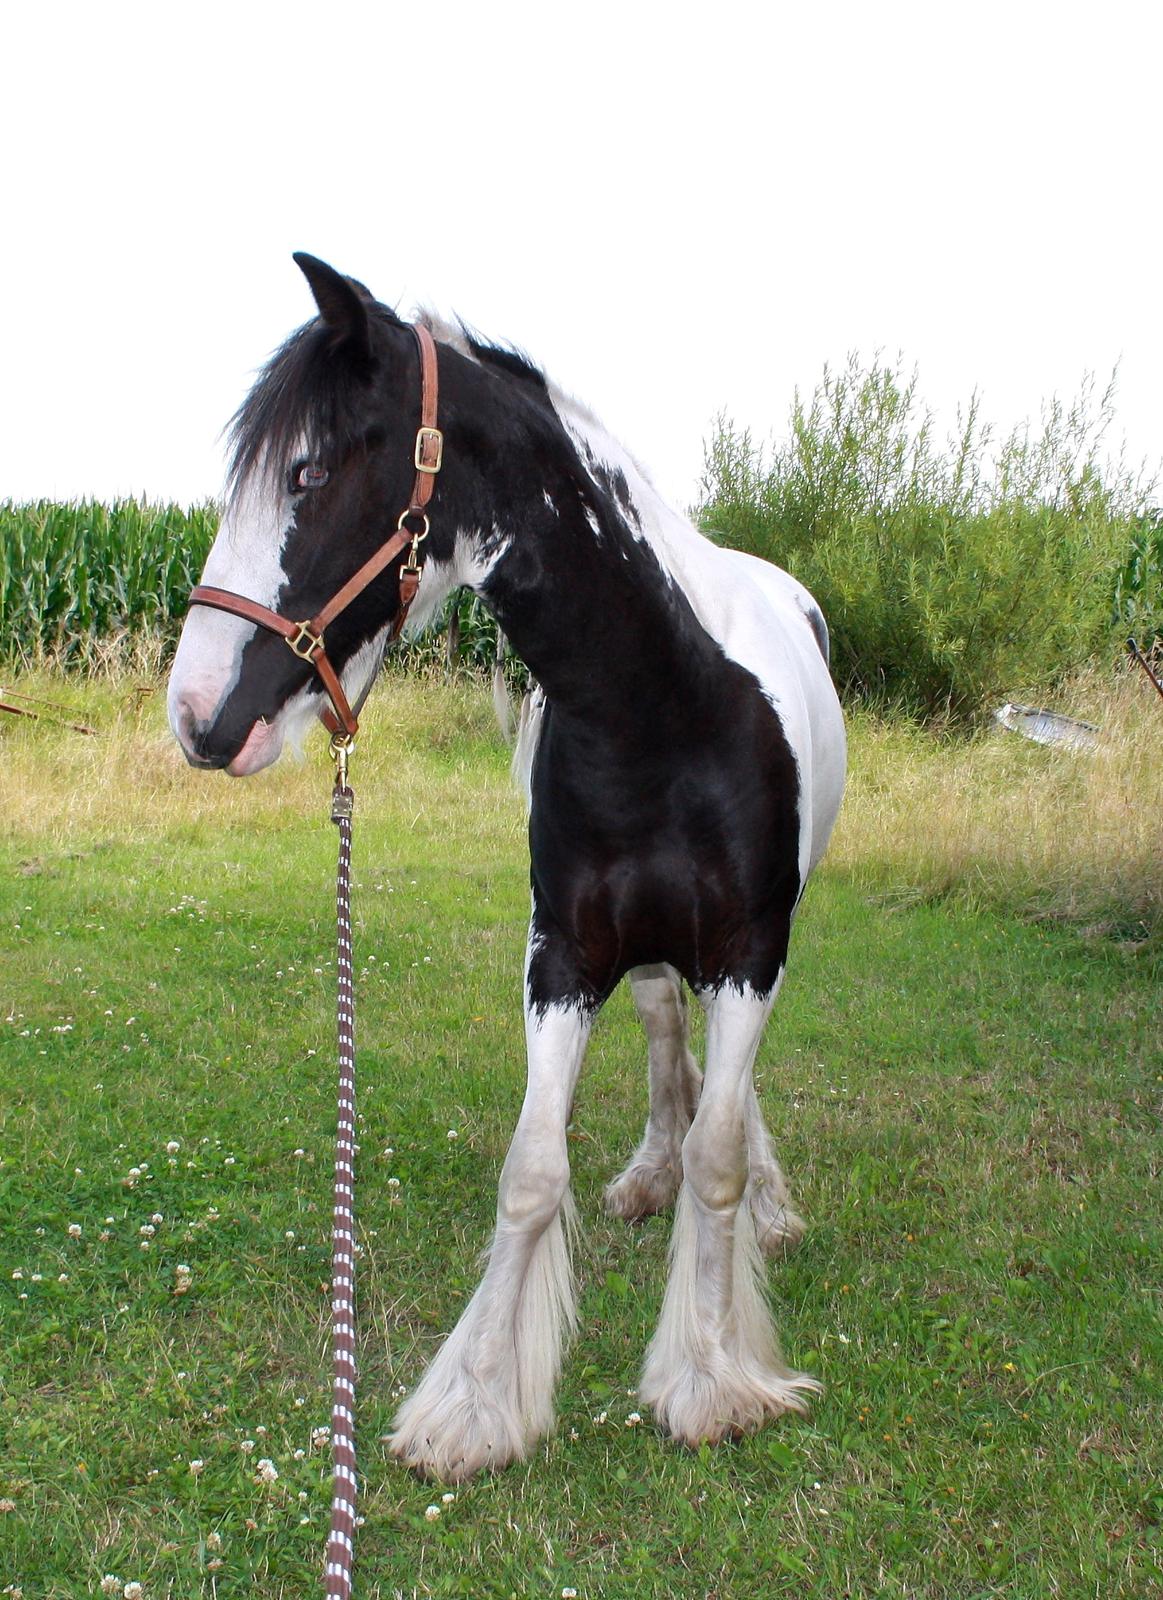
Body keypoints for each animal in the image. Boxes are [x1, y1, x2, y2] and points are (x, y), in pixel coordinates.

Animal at [166, 256, 844, 1478]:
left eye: (308, 469)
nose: (195, 717)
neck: (662, 703)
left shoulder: (748, 950)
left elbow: (720, 1153)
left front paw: (711, 1374)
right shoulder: (562, 955)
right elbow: (532, 1171)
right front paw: (475, 1402)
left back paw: (757, 1206)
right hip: (647, 954)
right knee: (665, 1036)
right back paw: (646, 1174)